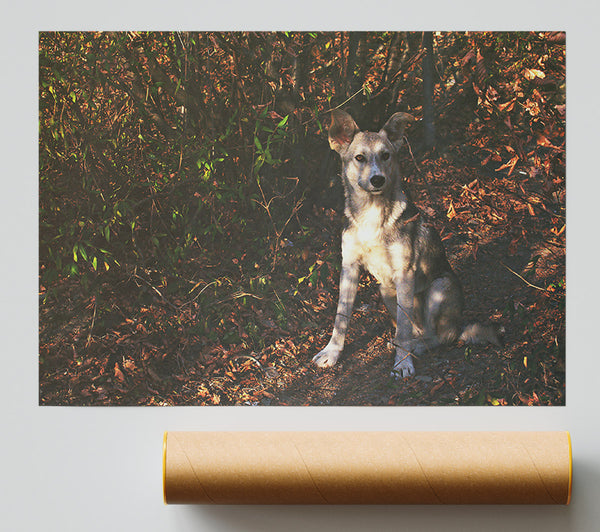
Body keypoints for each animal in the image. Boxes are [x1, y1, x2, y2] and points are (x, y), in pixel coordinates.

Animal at [312, 109, 500, 378]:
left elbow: (401, 327)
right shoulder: (349, 267)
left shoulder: (404, 273)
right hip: (385, 290)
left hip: (439, 287)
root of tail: (459, 326)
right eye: (359, 158)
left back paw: (416, 347)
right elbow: (341, 317)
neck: (371, 216)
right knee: (416, 331)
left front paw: (402, 364)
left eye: (385, 155)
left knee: (437, 337)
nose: (377, 180)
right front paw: (332, 353)